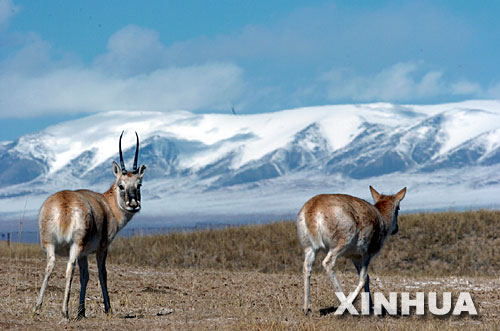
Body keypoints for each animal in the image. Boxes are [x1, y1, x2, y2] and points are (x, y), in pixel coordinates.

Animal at [32, 132, 146, 322]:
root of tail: (64, 202)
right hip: (75, 246)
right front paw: (108, 309)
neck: (107, 204)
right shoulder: (102, 248)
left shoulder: (84, 254)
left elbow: (85, 277)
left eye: (139, 184)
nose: (133, 205)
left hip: (50, 245)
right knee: (69, 269)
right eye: (121, 185)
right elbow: (102, 273)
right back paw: (64, 312)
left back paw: (36, 308)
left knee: (49, 267)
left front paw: (81, 311)